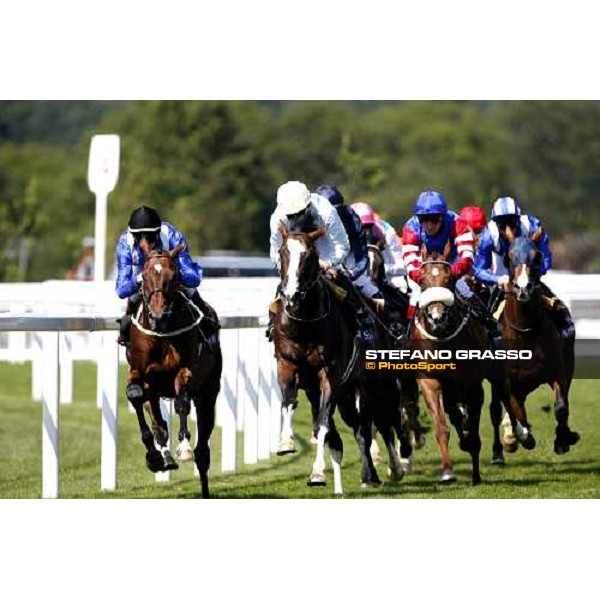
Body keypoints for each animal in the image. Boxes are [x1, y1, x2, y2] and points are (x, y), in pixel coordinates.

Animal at [126, 243, 223, 496]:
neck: (162, 335)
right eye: (144, 277)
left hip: (208, 393)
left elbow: (181, 403)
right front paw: (153, 457)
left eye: (174, 277)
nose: (157, 315)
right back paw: (164, 455)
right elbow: (136, 396)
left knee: (203, 450)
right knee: (158, 422)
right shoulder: (140, 374)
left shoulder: (185, 371)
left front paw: (184, 445)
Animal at [274, 223, 380, 494]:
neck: (305, 324)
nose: (292, 296)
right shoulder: (287, 365)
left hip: (360, 385)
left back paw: (370, 474)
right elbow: (289, 404)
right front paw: (285, 442)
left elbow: (322, 424)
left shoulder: (330, 374)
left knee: (362, 428)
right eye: (282, 252)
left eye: (310, 255)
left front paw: (318, 472)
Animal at [500, 230, 580, 454]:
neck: (525, 333)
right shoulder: (511, 382)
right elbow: (517, 410)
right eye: (508, 258)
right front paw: (523, 437)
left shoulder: (557, 371)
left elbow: (561, 407)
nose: (523, 288)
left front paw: (563, 440)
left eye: (536, 257)